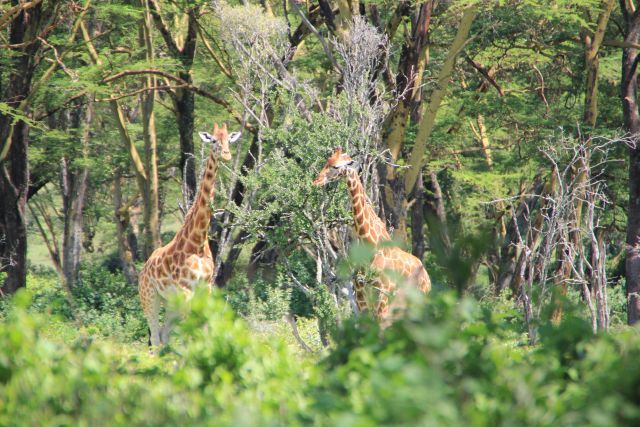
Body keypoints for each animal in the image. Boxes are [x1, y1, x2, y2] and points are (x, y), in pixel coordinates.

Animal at [139, 121, 241, 348]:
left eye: (229, 140)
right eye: (213, 140)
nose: (227, 155)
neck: (197, 241)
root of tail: (143, 269)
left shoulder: (206, 288)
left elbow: (205, 329)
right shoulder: (185, 290)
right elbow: (190, 335)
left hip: (170, 302)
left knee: (165, 336)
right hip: (150, 298)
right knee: (155, 338)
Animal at [312, 148, 432, 324]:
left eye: (335, 166)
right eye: (326, 162)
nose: (316, 182)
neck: (369, 243)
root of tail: (428, 279)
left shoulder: (383, 295)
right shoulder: (361, 295)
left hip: (418, 301)